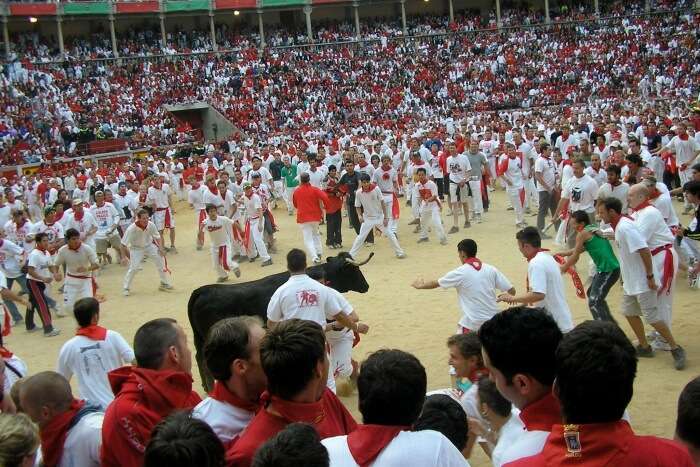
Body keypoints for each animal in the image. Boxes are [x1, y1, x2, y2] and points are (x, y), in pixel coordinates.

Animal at [186, 252, 372, 392]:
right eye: (355, 270)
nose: (367, 286)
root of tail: (202, 291)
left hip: (199, 338)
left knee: (198, 358)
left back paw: (206, 386)